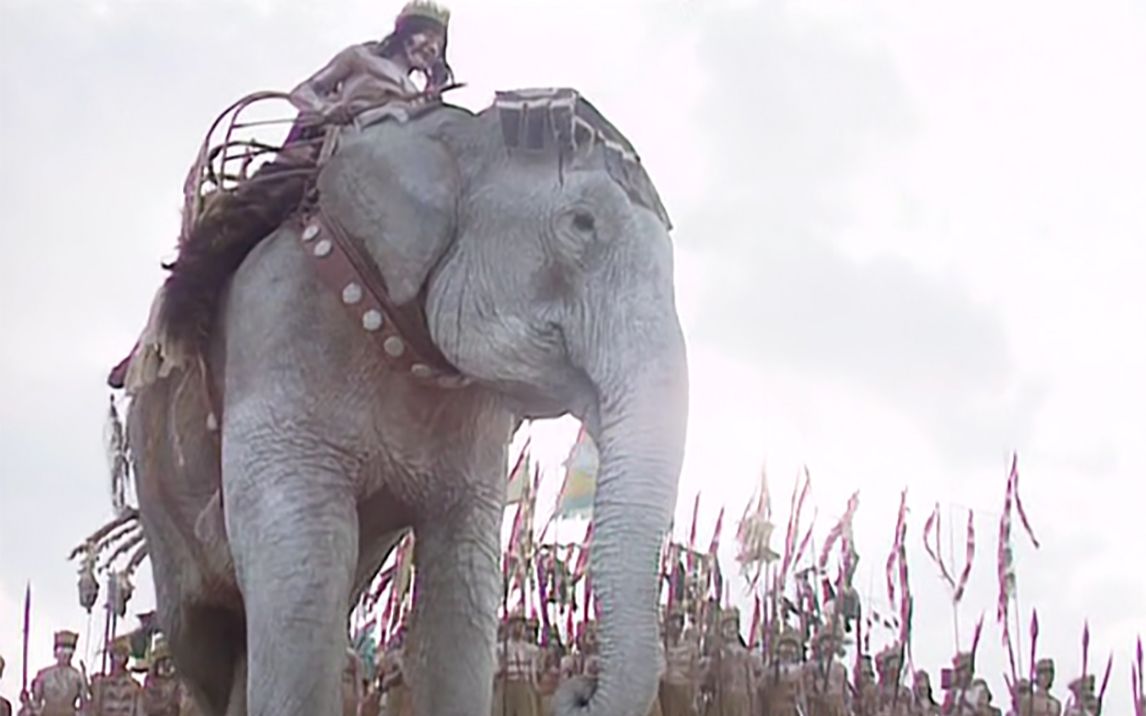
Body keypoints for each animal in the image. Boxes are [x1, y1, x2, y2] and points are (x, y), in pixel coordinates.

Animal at [128, 89, 687, 714]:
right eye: (581, 224)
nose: (580, 685)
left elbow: (463, 585)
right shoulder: (276, 334)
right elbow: (306, 567)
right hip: (157, 494)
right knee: (201, 628)